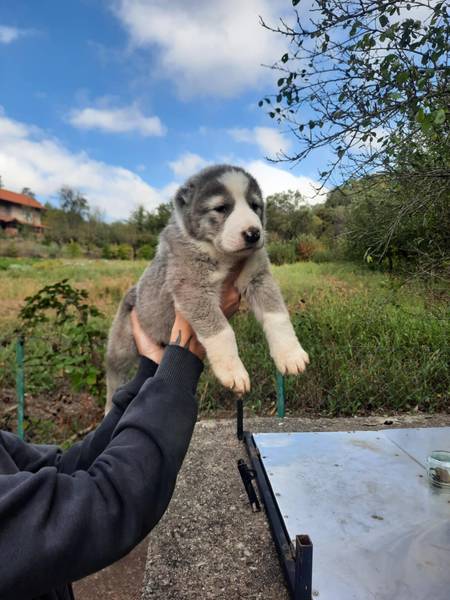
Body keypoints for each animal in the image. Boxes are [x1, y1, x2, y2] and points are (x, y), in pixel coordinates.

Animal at [104, 162, 310, 410]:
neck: (222, 254)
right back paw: (109, 405)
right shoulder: (193, 287)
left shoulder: (259, 277)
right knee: (114, 371)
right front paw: (233, 371)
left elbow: (277, 316)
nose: (253, 233)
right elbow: (222, 332)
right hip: (122, 345)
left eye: (255, 206)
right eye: (221, 208)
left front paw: (290, 354)